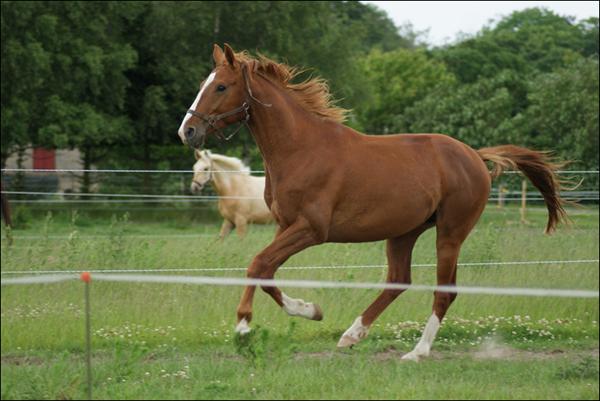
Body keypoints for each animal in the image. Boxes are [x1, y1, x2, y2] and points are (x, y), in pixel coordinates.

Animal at [177, 43, 568, 360]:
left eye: (221, 86)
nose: (187, 131)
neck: (299, 149)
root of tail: (474, 155)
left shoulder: (311, 229)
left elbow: (257, 264)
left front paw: (243, 328)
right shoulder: (285, 226)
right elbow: (266, 271)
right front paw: (311, 310)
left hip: (450, 233)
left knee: (444, 291)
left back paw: (416, 352)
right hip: (404, 233)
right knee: (399, 280)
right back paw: (353, 334)